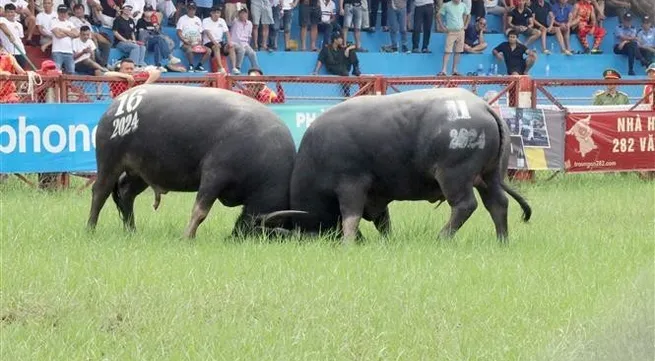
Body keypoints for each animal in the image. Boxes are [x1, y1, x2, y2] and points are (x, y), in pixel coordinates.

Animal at [86, 83, 302, 238]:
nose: (234, 237)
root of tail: (116, 104)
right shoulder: (214, 175)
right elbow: (200, 211)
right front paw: (187, 236)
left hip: (140, 172)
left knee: (126, 192)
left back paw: (131, 230)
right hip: (109, 162)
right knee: (100, 192)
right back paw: (91, 228)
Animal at [276, 87, 532, 242]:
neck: (316, 154)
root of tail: (483, 107)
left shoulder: (351, 184)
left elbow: (351, 216)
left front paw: (348, 242)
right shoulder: (376, 194)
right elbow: (383, 221)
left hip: (454, 176)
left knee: (465, 205)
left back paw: (442, 238)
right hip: (489, 177)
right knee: (498, 204)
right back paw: (502, 240)